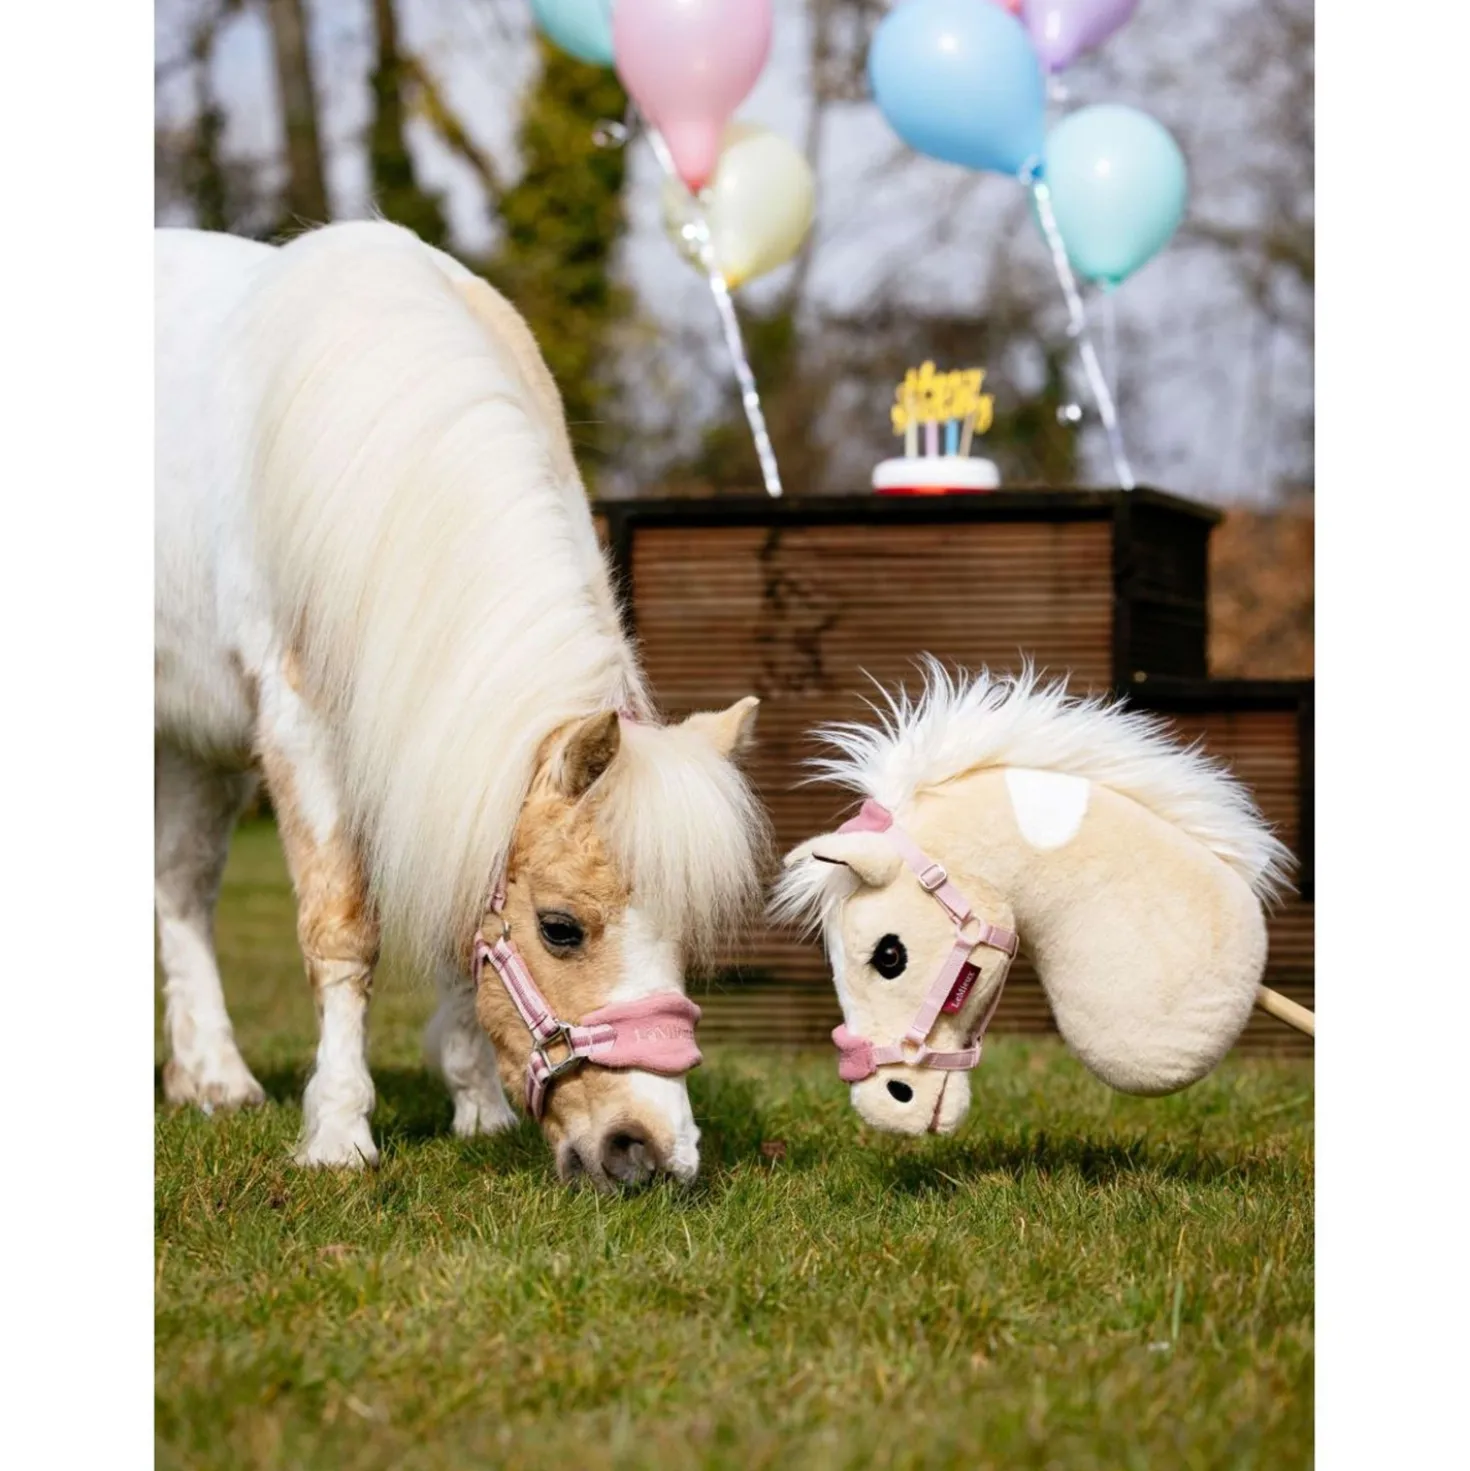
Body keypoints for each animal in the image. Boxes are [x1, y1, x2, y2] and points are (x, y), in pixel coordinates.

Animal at [154, 221, 768, 1186]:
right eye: (560, 928)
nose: (646, 1151)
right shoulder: (301, 729)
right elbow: (341, 930)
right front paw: (339, 1132)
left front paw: (476, 1107)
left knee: (180, 885)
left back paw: (211, 1079)